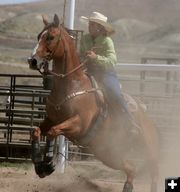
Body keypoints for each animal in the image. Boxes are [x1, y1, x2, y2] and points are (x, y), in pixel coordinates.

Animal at [27, 13, 159, 192]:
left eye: (50, 37)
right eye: (38, 36)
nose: (32, 61)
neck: (72, 84)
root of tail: (143, 110)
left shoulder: (79, 124)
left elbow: (53, 131)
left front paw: (48, 164)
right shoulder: (52, 119)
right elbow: (36, 131)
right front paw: (40, 166)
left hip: (147, 145)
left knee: (154, 168)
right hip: (108, 154)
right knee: (131, 169)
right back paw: (127, 186)